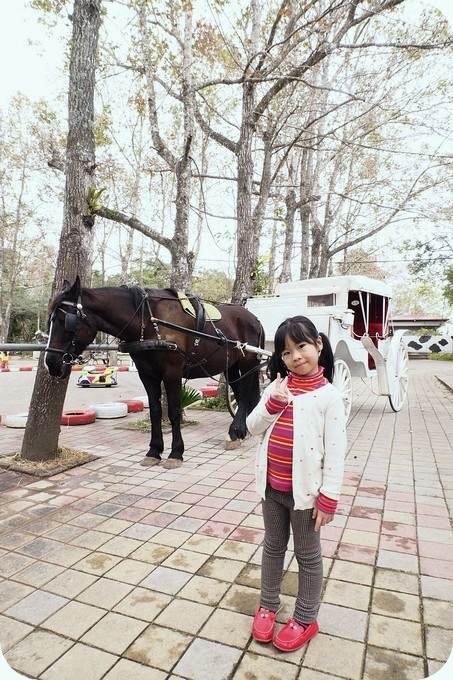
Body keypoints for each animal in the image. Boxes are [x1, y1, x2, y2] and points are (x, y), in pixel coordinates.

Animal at [45, 276, 264, 468]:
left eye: (65, 320)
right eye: (50, 320)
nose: (51, 364)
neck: (149, 321)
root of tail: (253, 318)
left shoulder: (172, 373)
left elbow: (174, 411)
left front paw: (176, 453)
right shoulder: (147, 375)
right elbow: (155, 411)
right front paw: (154, 451)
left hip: (247, 363)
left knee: (245, 395)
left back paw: (235, 432)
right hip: (232, 366)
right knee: (239, 393)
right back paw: (239, 432)